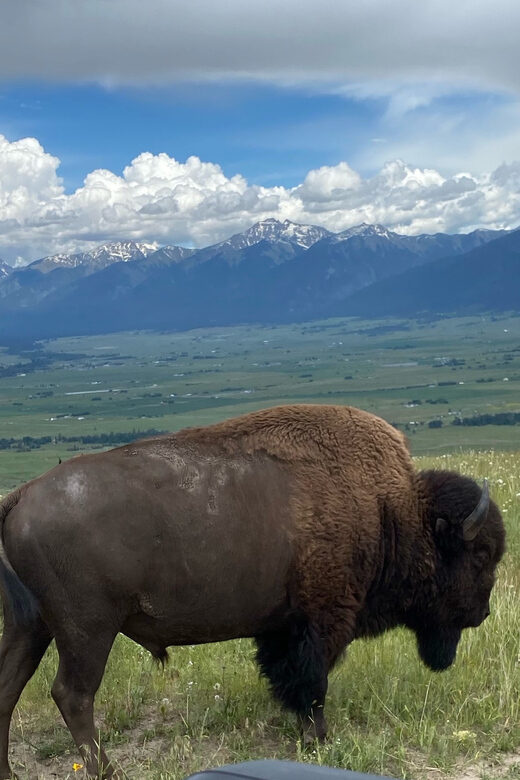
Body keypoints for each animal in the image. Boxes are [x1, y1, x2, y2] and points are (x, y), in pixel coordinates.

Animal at [0, 404, 505, 778]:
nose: (482, 613)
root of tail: (21, 495)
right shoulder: (321, 622)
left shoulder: (282, 627)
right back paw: (109, 772)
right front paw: (317, 738)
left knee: (10, 686)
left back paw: (9, 770)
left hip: (32, 626)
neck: (391, 511)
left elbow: (290, 677)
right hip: (87, 630)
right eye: (479, 554)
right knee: (73, 695)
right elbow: (312, 682)